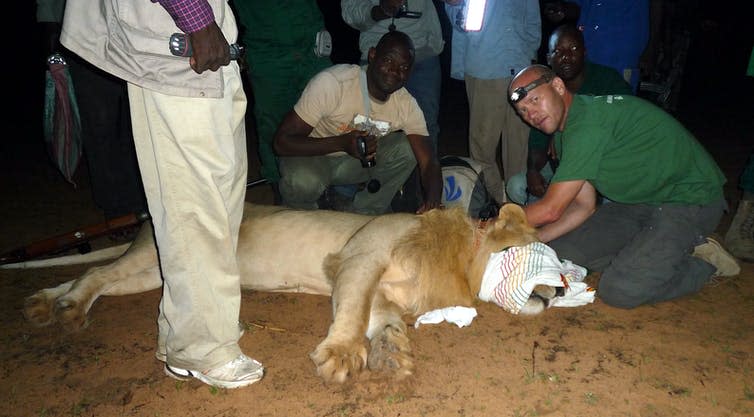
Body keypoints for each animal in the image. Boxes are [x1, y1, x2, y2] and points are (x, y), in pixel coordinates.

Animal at [23, 203, 556, 382]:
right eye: (536, 255)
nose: (558, 290)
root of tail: (143, 223)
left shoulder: (382, 291)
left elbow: (380, 320)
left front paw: (391, 355)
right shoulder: (358, 256)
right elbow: (352, 313)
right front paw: (342, 356)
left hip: (153, 274)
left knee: (96, 277)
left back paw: (43, 303)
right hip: (154, 258)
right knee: (96, 275)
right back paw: (67, 311)